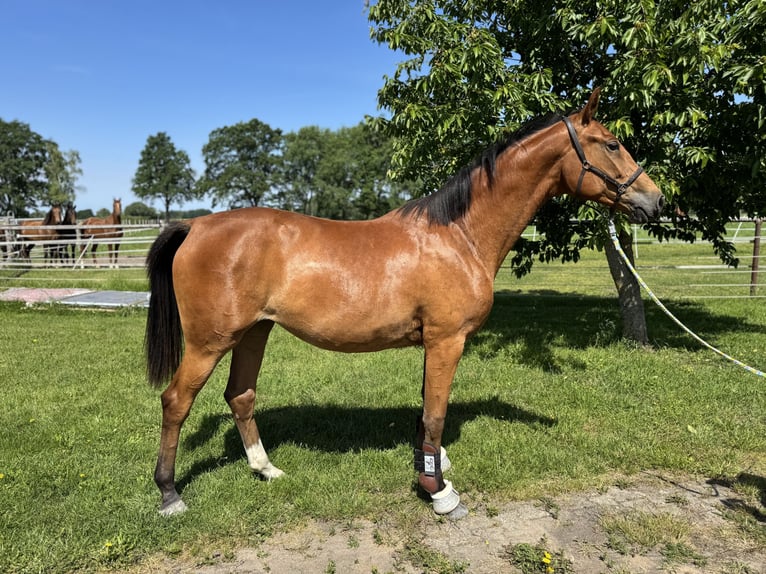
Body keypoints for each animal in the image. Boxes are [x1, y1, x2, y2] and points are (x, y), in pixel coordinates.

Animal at [145, 90, 665, 518]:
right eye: (611, 144)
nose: (656, 201)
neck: (460, 235)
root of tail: (197, 225)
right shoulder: (447, 340)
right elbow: (435, 413)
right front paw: (439, 491)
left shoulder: (434, 343)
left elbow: (426, 409)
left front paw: (432, 464)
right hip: (210, 342)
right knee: (176, 401)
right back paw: (170, 494)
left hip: (254, 332)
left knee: (241, 395)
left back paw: (265, 469)